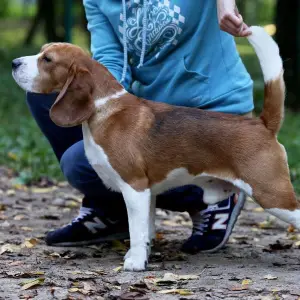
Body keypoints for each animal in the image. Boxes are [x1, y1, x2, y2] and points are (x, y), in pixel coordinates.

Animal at [11, 27, 300, 272]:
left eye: (47, 59)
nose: (14, 63)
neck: (103, 107)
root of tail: (262, 124)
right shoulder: (147, 193)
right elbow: (146, 229)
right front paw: (140, 255)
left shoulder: (135, 187)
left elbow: (136, 232)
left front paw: (136, 263)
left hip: (272, 194)